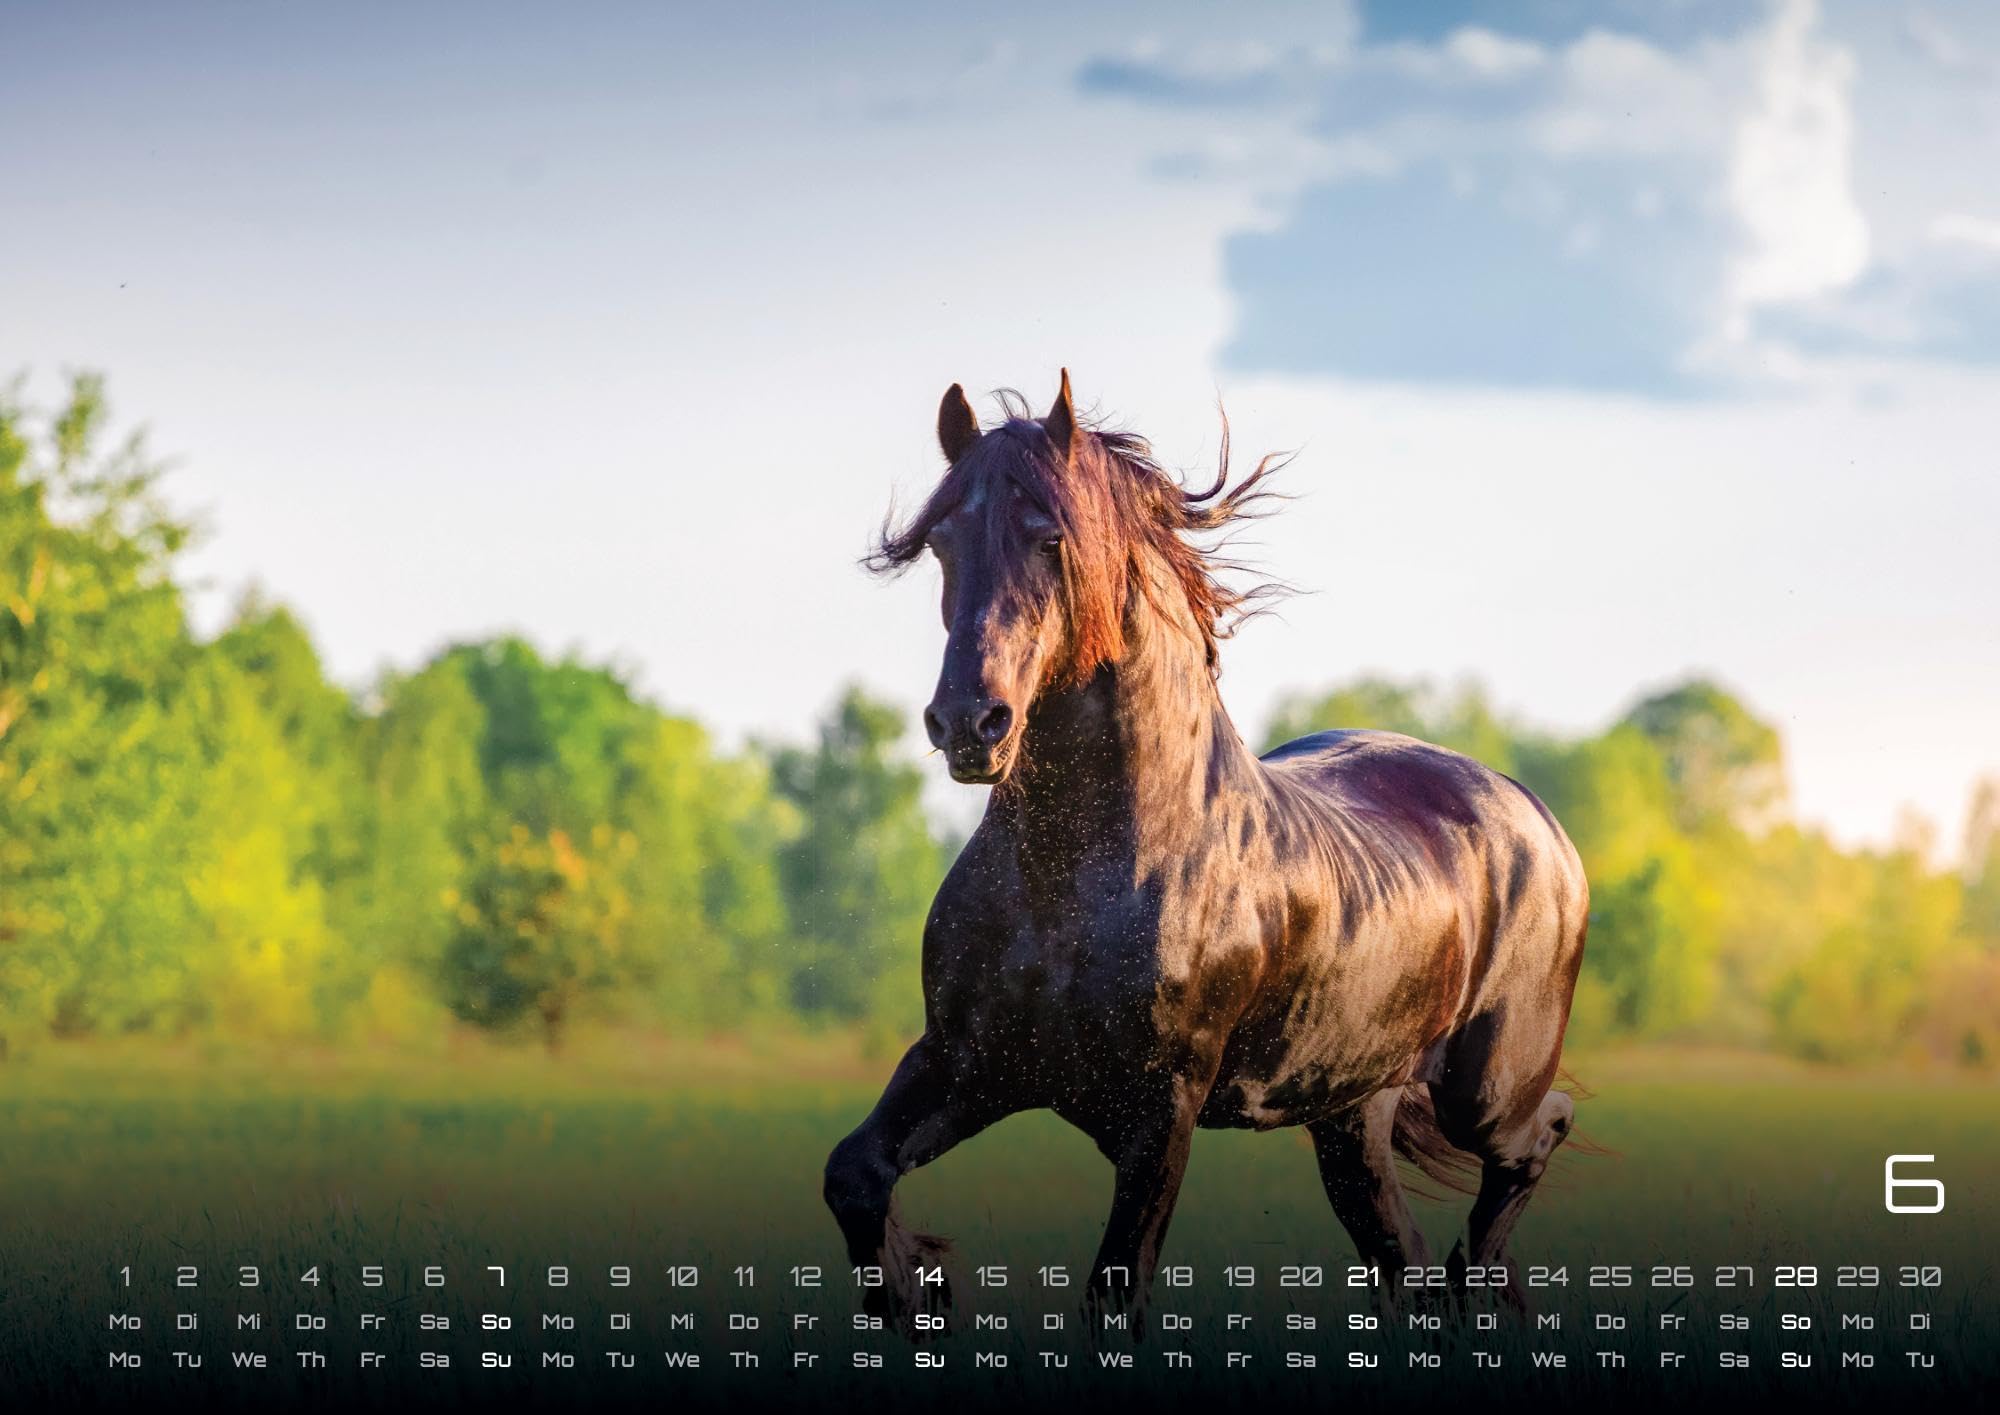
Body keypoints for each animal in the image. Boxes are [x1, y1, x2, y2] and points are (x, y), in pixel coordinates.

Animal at [824, 371, 1588, 1335]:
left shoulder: (1161, 1108)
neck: (1075, 887)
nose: (968, 722)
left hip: (1484, 1089)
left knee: (1539, 1133)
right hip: (1352, 1114)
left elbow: (1116, 1291)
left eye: (1049, 537)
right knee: (1405, 1263)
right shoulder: (968, 1062)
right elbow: (854, 1175)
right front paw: (915, 1286)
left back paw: (1487, 1278)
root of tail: (1536, 816)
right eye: (941, 542)